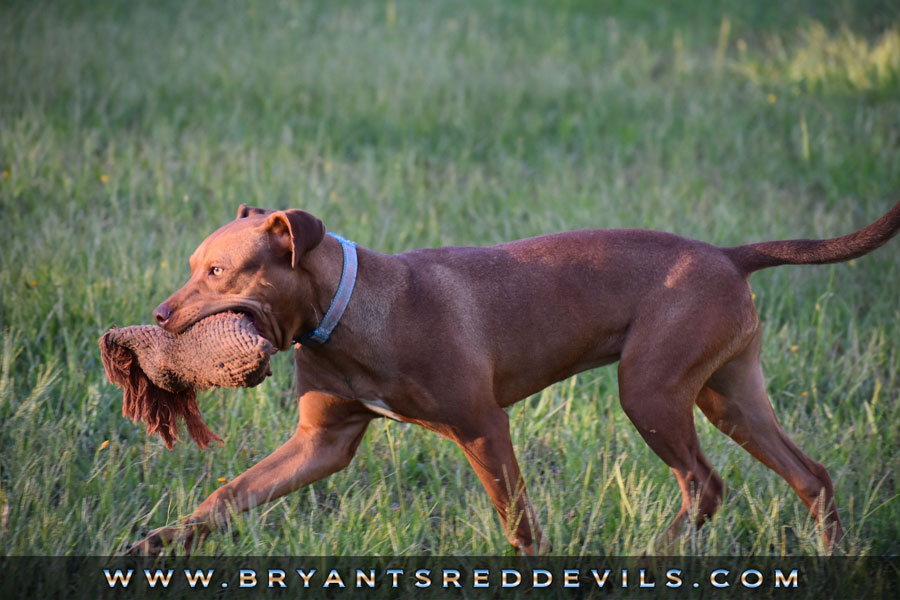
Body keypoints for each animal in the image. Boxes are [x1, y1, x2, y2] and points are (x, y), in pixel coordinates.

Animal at [128, 199, 900, 556]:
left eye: (218, 272)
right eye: (194, 266)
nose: (159, 316)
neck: (347, 312)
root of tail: (729, 255)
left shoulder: (482, 428)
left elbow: (519, 521)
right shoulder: (322, 445)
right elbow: (228, 496)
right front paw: (155, 543)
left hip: (651, 394)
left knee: (704, 483)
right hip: (728, 396)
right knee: (810, 477)